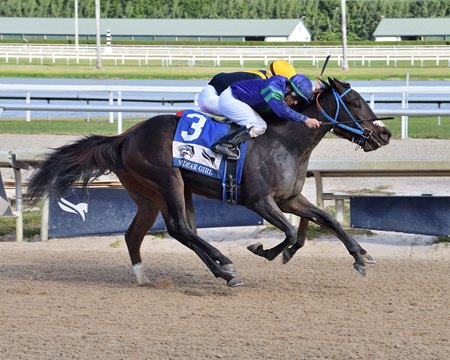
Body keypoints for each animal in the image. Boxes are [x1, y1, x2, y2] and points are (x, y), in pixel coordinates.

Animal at [26, 78, 390, 286]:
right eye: (355, 102)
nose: (384, 134)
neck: (285, 141)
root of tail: (125, 136)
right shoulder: (259, 200)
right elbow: (288, 231)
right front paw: (264, 251)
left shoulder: (289, 198)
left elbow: (327, 219)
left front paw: (360, 257)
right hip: (167, 181)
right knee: (179, 228)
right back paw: (225, 265)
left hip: (150, 195)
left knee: (152, 233)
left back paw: (154, 276)